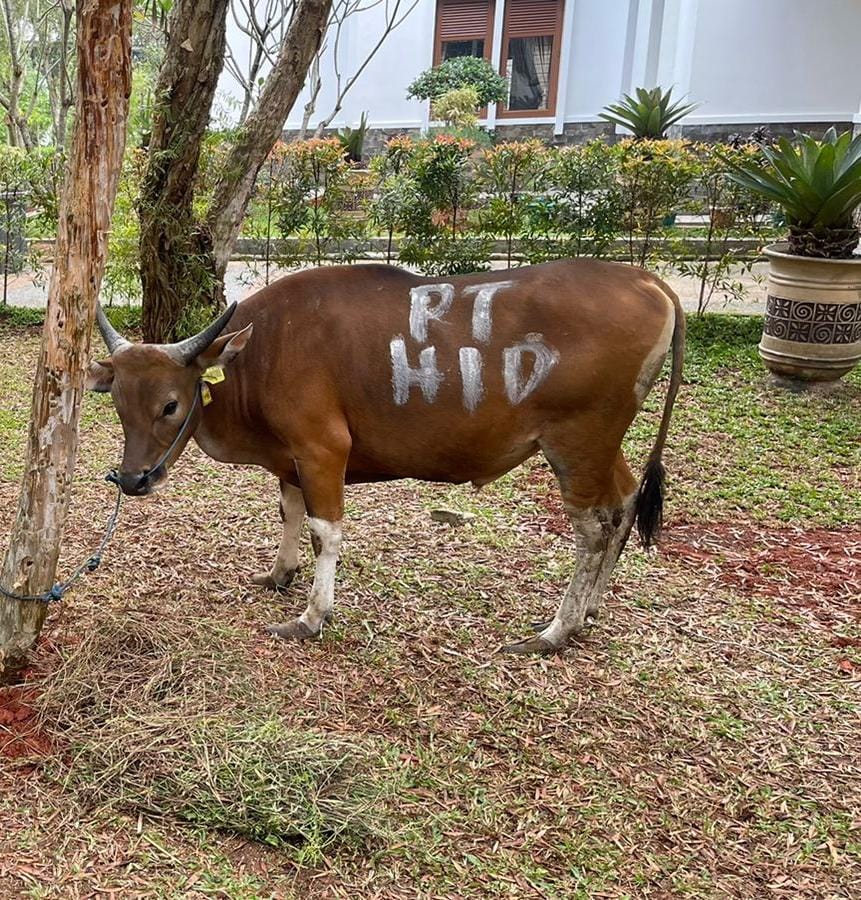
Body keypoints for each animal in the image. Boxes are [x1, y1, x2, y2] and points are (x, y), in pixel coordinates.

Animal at [89, 260, 684, 652]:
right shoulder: (291, 458)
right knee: (624, 501)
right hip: (603, 445)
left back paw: (558, 629)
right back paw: (592, 606)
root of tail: (647, 280)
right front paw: (280, 574)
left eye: (170, 405)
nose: (133, 479)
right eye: (118, 402)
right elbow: (288, 511)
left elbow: (324, 532)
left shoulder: (322, 449)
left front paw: (311, 616)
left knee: (593, 528)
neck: (261, 354)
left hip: (577, 443)